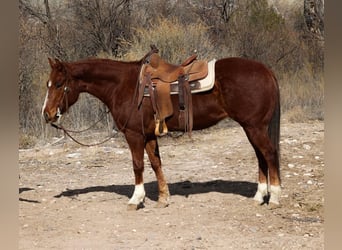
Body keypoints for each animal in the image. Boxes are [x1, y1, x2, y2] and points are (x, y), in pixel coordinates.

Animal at [41, 48, 280, 209]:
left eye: (60, 84)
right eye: (48, 84)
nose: (47, 114)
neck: (123, 85)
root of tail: (266, 70)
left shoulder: (134, 135)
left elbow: (137, 165)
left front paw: (136, 199)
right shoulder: (148, 135)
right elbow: (156, 164)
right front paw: (164, 198)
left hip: (255, 127)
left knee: (269, 154)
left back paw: (275, 197)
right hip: (251, 128)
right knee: (261, 157)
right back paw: (259, 196)